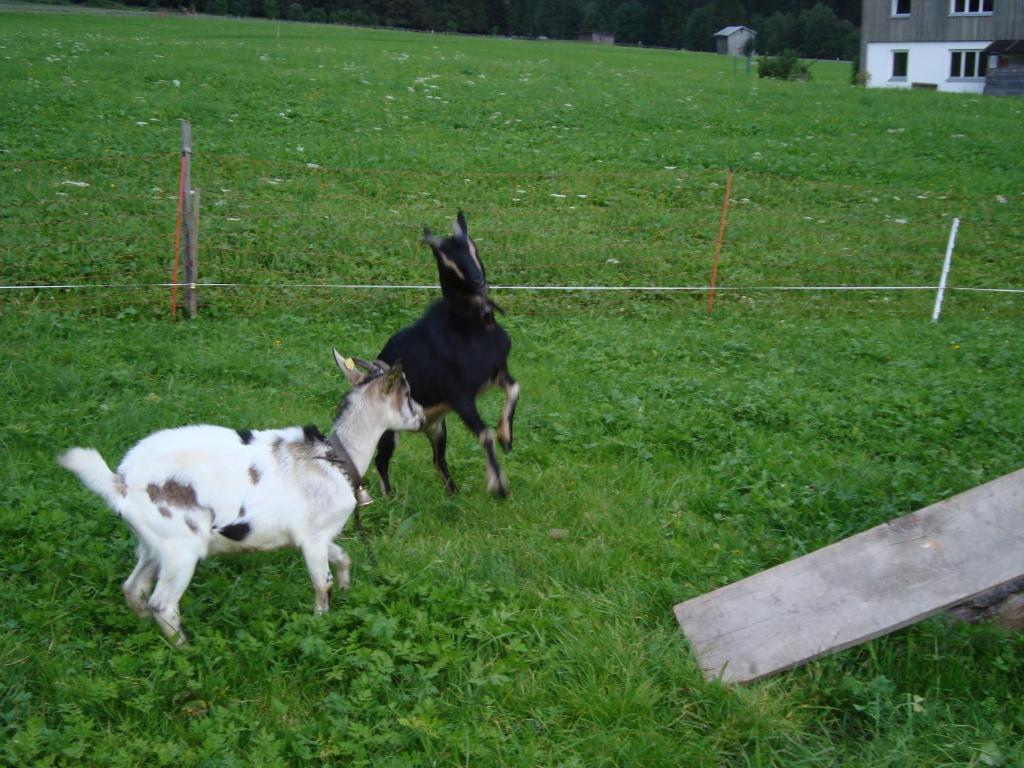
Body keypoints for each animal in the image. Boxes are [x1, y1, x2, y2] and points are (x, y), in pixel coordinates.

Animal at [57, 352, 423, 647]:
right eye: (406, 393)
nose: (421, 417)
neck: (335, 459)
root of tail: (121, 481)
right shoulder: (313, 539)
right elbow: (323, 584)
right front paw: (320, 624)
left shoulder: (315, 535)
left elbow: (343, 557)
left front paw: (347, 590)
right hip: (181, 548)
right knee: (162, 603)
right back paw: (186, 649)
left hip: (154, 544)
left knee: (133, 588)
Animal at [374, 211, 520, 499]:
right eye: (444, 258)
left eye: (472, 246)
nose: (478, 281)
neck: (471, 330)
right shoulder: (460, 396)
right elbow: (484, 434)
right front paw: (499, 487)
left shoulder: (497, 373)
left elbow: (515, 388)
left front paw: (506, 437)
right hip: (389, 428)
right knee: (381, 458)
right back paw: (389, 497)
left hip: (436, 426)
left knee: (437, 459)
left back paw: (453, 494)